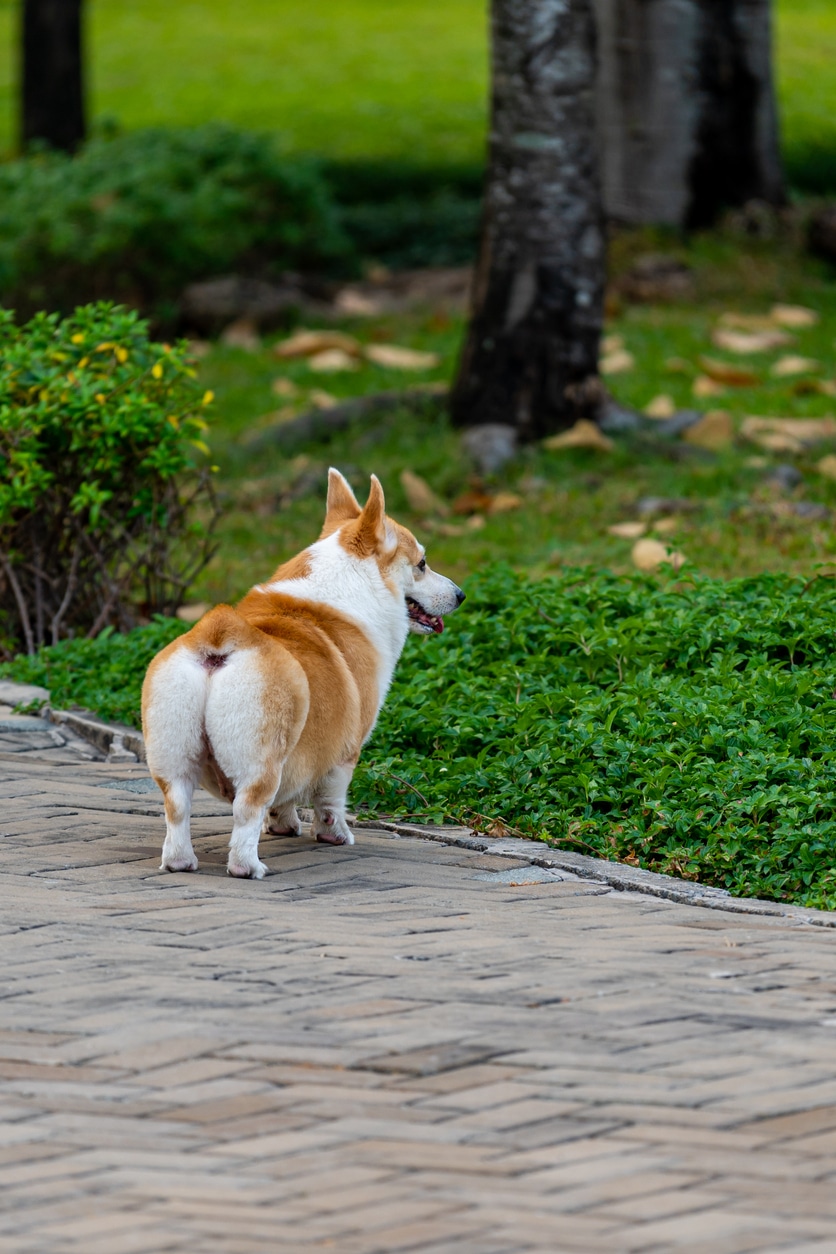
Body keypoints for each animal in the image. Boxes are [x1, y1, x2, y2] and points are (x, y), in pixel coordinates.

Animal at [142, 466, 463, 877]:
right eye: (422, 564)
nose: (460, 595)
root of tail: (219, 637)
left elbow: (287, 799)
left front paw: (283, 825)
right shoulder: (346, 751)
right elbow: (331, 800)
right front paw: (334, 834)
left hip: (174, 751)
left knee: (178, 806)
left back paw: (180, 862)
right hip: (261, 758)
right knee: (248, 808)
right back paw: (248, 867)